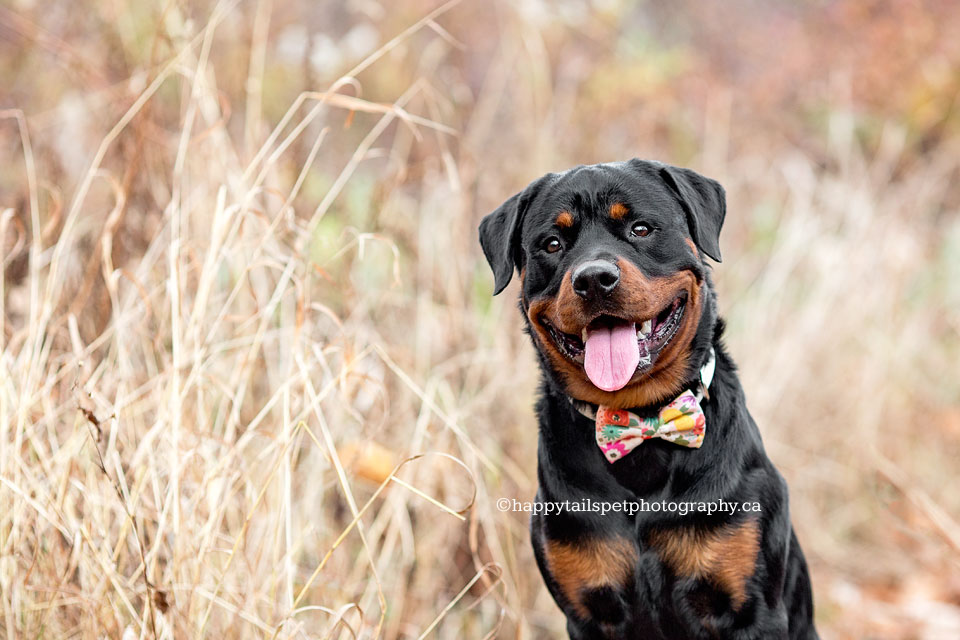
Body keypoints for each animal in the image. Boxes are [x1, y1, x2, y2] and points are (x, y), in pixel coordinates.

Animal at [480, 158, 816, 636]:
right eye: (552, 243)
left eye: (640, 229)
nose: (594, 279)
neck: (641, 419)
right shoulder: (588, 612)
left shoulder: (753, 611)